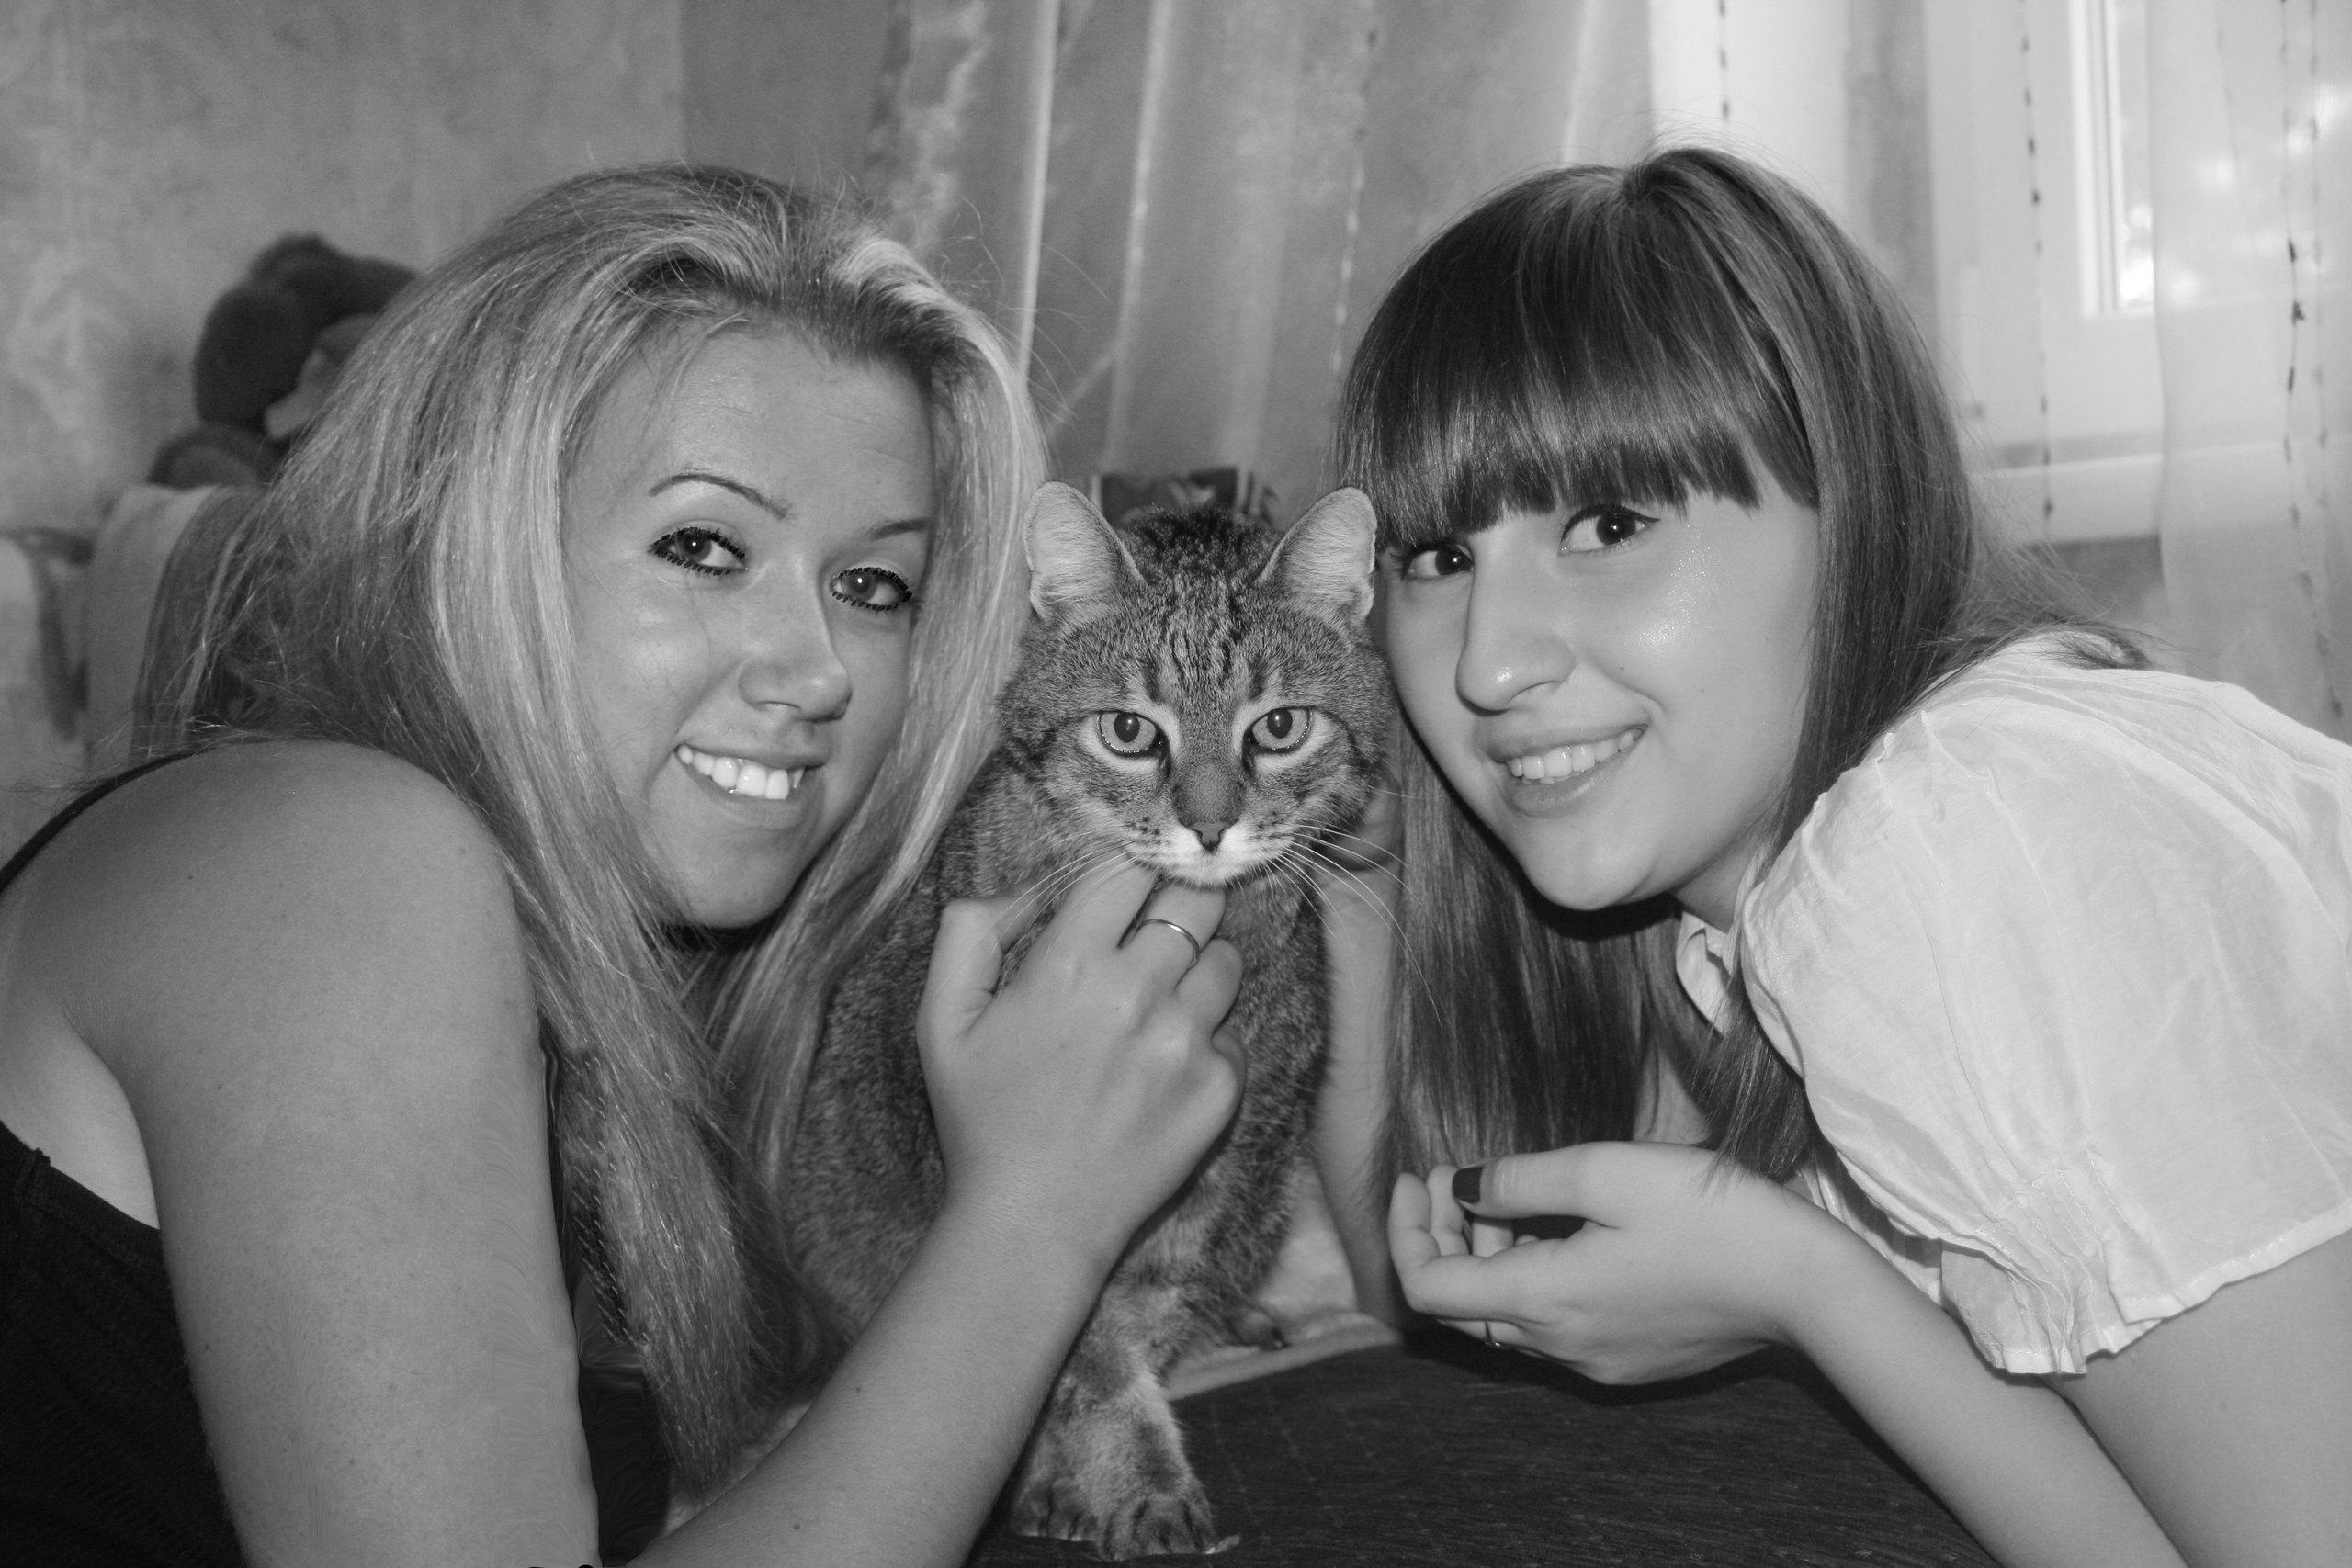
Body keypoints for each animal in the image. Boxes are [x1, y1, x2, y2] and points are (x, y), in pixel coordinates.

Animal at [785, 481, 1389, 1558]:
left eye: (1278, 729)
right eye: (1130, 733)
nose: (1208, 824)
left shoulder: (1222, 1180)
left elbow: (1131, 1324)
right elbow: (1088, 1353)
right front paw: (1119, 1481)